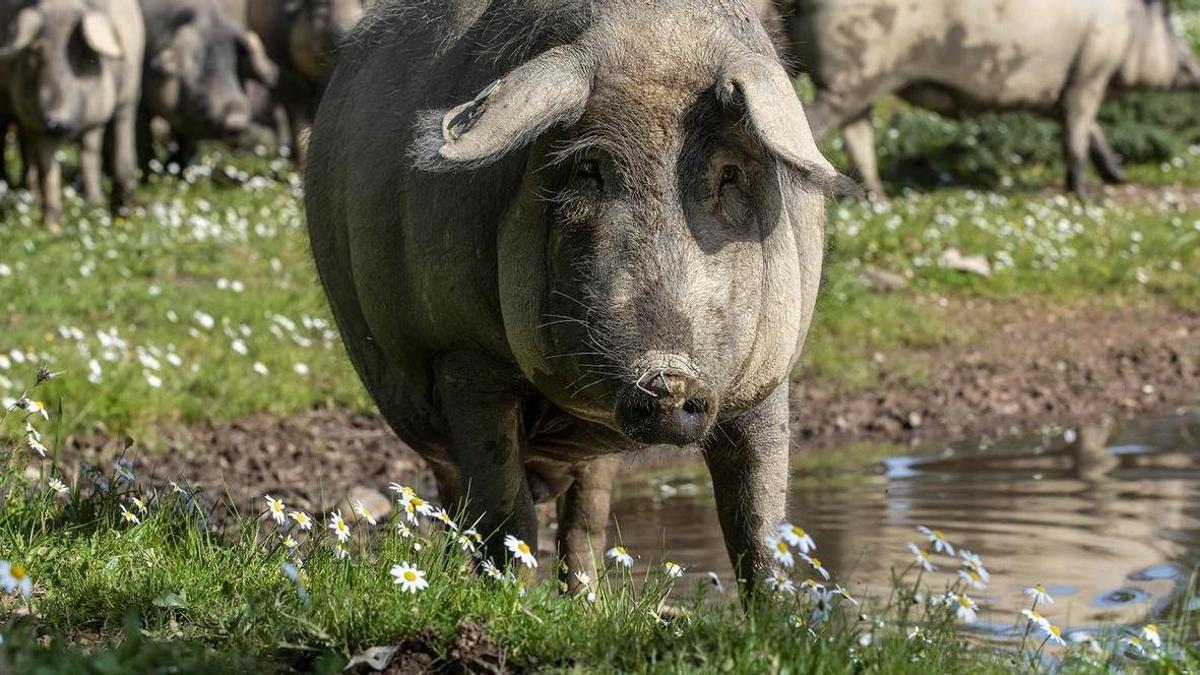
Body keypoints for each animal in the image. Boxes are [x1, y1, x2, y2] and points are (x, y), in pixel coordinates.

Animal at [0, 0, 144, 228]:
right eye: (37, 56)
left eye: (84, 56)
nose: (57, 121)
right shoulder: (36, 118)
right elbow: (47, 168)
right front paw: (51, 226)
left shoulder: (123, 100)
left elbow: (107, 155)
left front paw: (112, 211)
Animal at [305, 0, 849, 591]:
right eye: (589, 170)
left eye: (729, 174)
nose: (668, 379)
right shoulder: (463, 353)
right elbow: (508, 517)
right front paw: (511, 599)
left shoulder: (768, 372)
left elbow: (759, 527)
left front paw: (780, 610)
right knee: (460, 501)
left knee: (585, 520)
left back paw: (585, 601)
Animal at [774, 0, 1200, 197]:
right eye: (1167, 19)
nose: (1195, 69)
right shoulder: (1089, 74)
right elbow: (1078, 134)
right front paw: (1086, 195)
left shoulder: (1064, 89)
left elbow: (1089, 131)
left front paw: (1118, 175)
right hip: (852, 73)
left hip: (858, 82)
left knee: (857, 133)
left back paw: (876, 198)